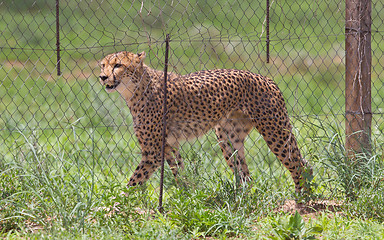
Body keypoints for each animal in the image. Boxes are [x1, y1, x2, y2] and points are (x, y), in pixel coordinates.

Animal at [99, 51, 312, 193]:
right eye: (102, 65)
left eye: (118, 65)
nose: (102, 77)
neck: (135, 89)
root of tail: (265, 77)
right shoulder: (169, 144)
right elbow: (179, 172)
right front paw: (187, 195)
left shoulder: (152, 152)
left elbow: (133, 182)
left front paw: (115, 206)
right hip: (227, 137)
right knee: (246, 175)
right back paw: (244, 198)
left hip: (275, 132)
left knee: (298, 164)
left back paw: (301, 198)